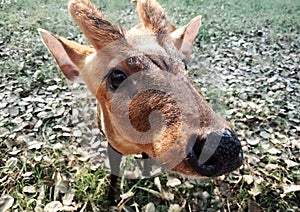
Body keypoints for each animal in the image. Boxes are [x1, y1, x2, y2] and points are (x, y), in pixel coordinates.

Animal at [38, 0, 244, 205]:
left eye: (184, 65)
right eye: (117, 76)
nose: (225, 146)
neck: (133, 145)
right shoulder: (112, 145)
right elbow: (114, 173)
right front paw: (111, 200)